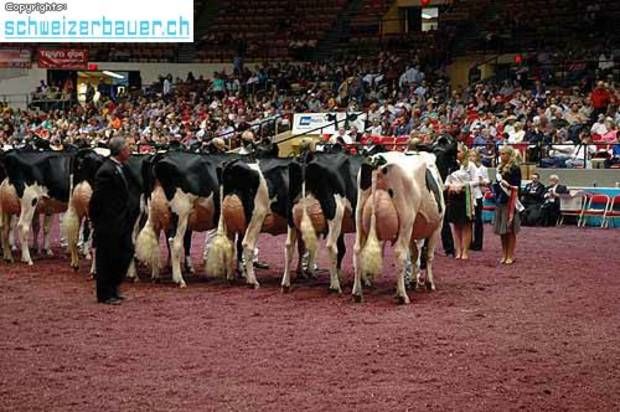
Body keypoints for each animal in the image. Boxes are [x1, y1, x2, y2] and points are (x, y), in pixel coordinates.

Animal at [280, 151, 363, 293]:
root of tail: (308, 155)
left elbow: (343, 249)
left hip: (291, 217)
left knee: (289, 246)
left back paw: (286, 284)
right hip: (334, 212)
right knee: (331, 246)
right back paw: (335, 286)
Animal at [352, 150, 446, 304]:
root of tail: (377, 159)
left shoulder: (413, 232)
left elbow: (414, 255)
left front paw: (413, 282)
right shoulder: (438, 226)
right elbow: (428, 255)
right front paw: (429, 283)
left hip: (359, 217)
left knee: (357, 250)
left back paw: (357, 293)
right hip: (406, 219)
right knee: (399, 253)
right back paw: (402, 295)